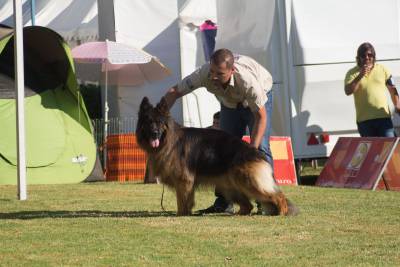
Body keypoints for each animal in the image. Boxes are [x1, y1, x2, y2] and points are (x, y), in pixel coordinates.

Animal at [137, 97, 296, 217]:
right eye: (149, 122)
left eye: (159, 122)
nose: (155, 134)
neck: (169, 139)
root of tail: (254, 152)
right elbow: (187, 201)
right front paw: (187, 213)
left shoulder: (183, 181)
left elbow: (182, 201)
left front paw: (181, 214)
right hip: (230, 187)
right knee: (248, 205)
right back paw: (240, 214)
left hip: (249, 182)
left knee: (277, 195)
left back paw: (283, 212)